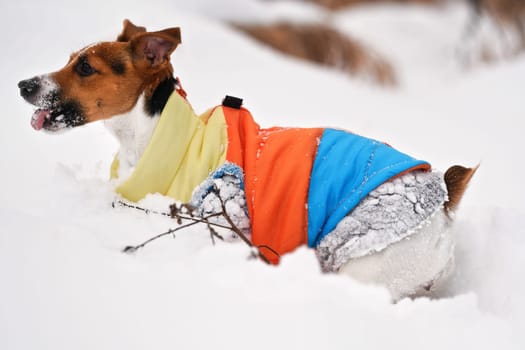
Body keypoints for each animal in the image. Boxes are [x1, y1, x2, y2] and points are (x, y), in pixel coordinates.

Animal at [18, 19, 474, 300]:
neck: (155, 133)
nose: (23, 84)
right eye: (70, 59)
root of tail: (443, 197)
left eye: (85, 67)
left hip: (362, 264)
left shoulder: (221, 218)